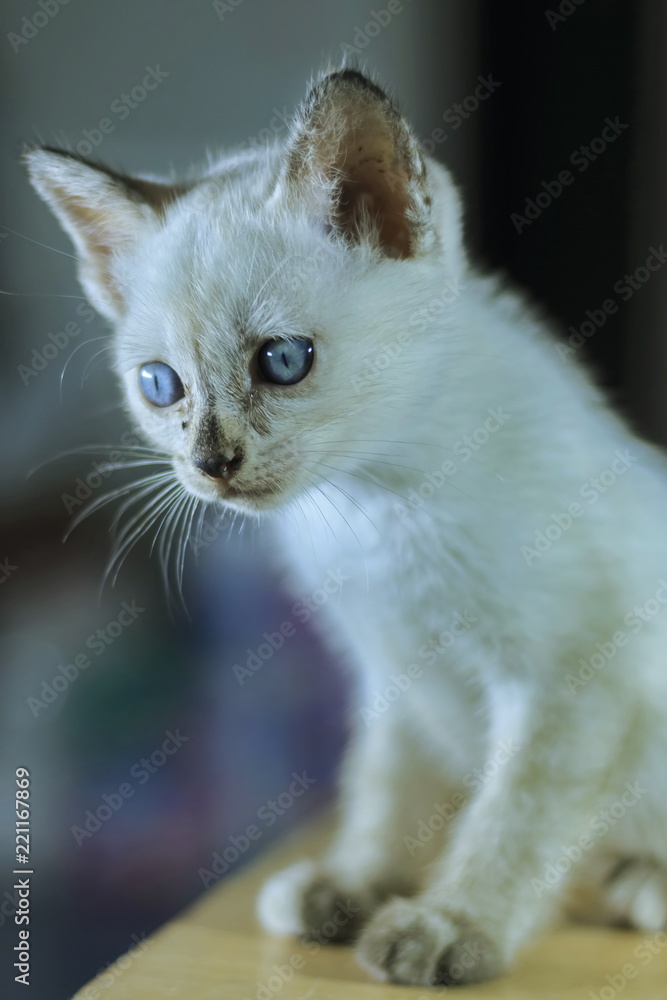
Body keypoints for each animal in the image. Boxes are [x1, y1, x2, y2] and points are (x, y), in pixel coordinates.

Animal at [26, 68, 667, 984]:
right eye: (159, 385)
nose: (211, 463)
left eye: (283, 361)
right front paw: (357, 882)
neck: (373, 510)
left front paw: (452, 924)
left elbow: (513, 817)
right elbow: (385, 789)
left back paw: (639, 883)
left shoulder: (573, 679)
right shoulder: (391, 668)